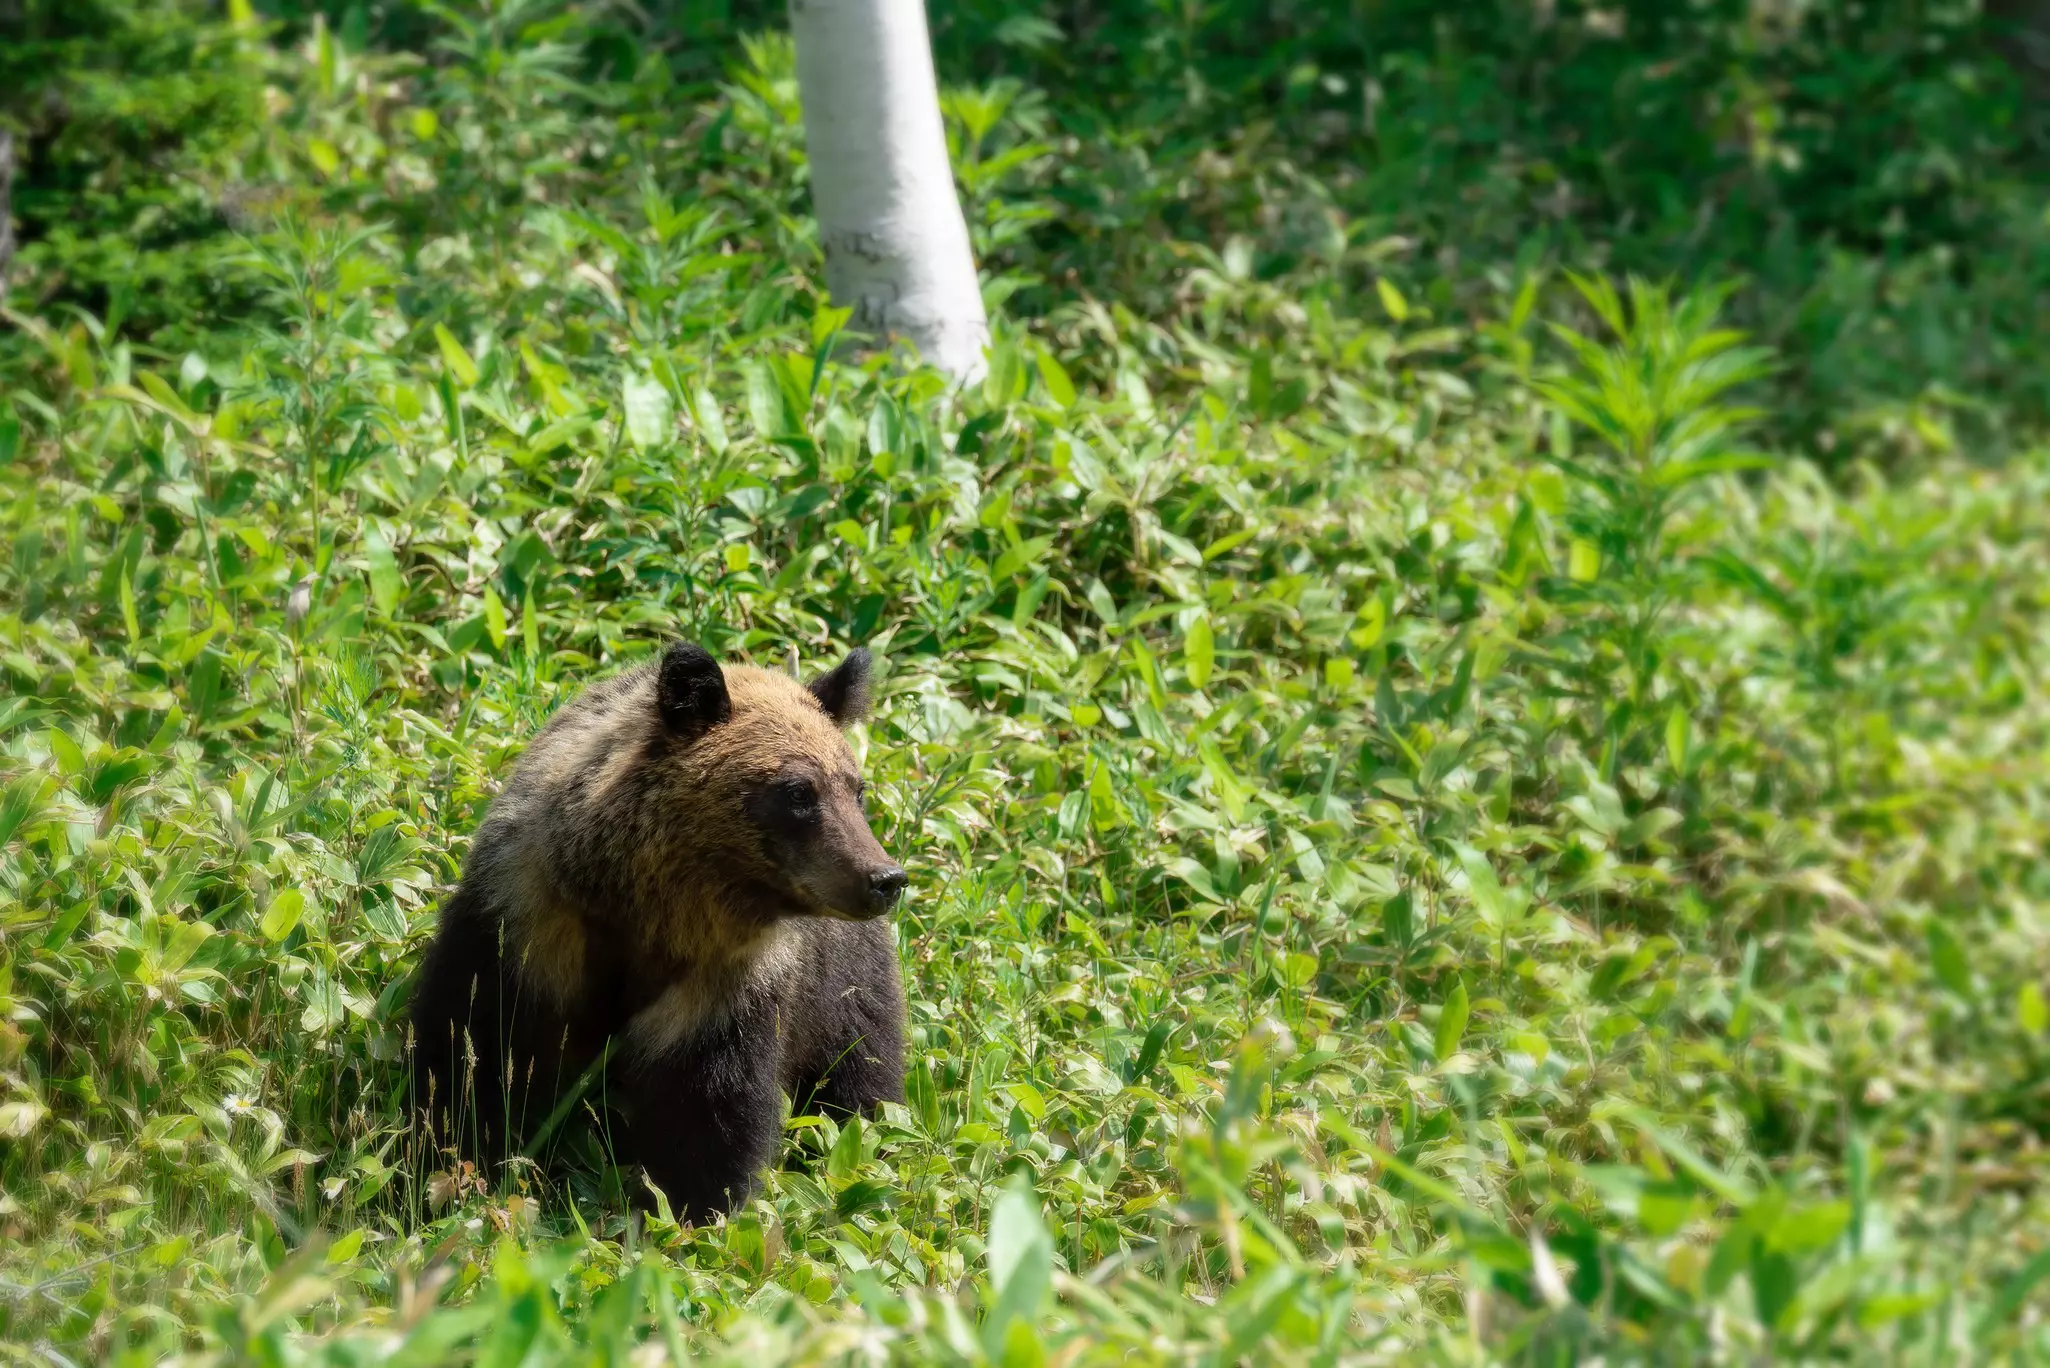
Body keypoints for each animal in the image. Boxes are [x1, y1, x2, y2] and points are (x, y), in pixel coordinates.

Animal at [406, 641, 907, 1221]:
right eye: (799, 792)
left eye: (856, 788)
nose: (885, 878)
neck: (646, 914)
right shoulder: (524, 930)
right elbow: (469, 1053)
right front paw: (451, 1168)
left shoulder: (723, 987)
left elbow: (707, 1110)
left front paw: (689, 1208)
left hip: (841, 988)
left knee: (860, 1070)